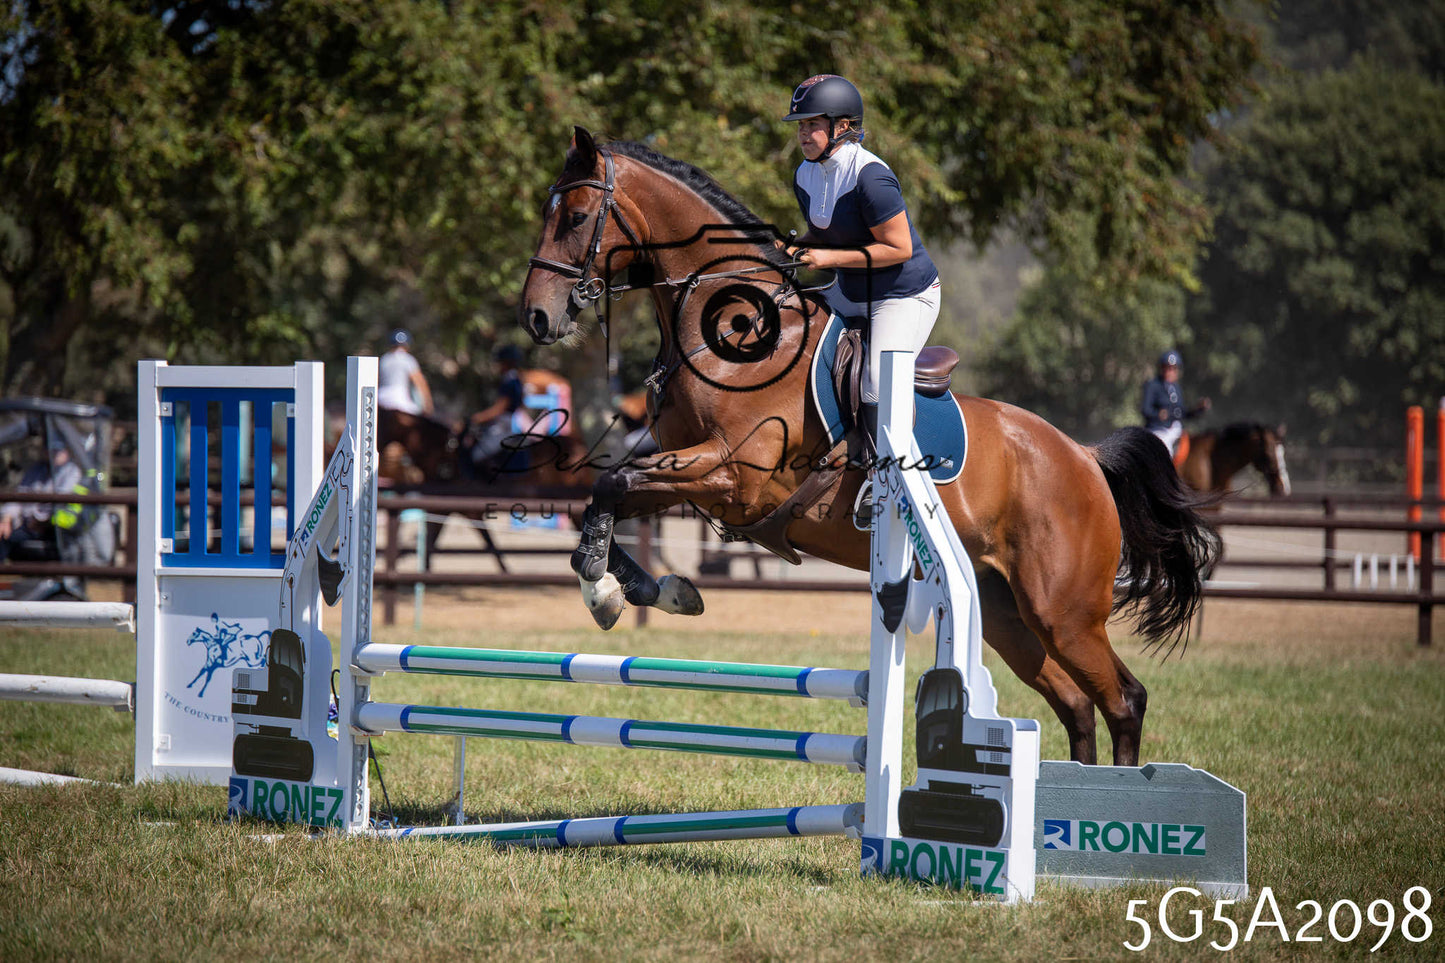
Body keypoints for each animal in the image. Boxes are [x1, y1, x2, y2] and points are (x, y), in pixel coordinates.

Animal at [518, 127, 1221, 767]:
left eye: (575, 216)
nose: (537, 319)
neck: (730, 333)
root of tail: (1084, 459)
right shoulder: (695, 476)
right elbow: (611, 493)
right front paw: (645, 591)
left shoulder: (733, 476)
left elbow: (610, 486)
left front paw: (602, 593)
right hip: (1006, 614)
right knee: (1075, 706)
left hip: (1064, 614)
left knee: (1123, 700)